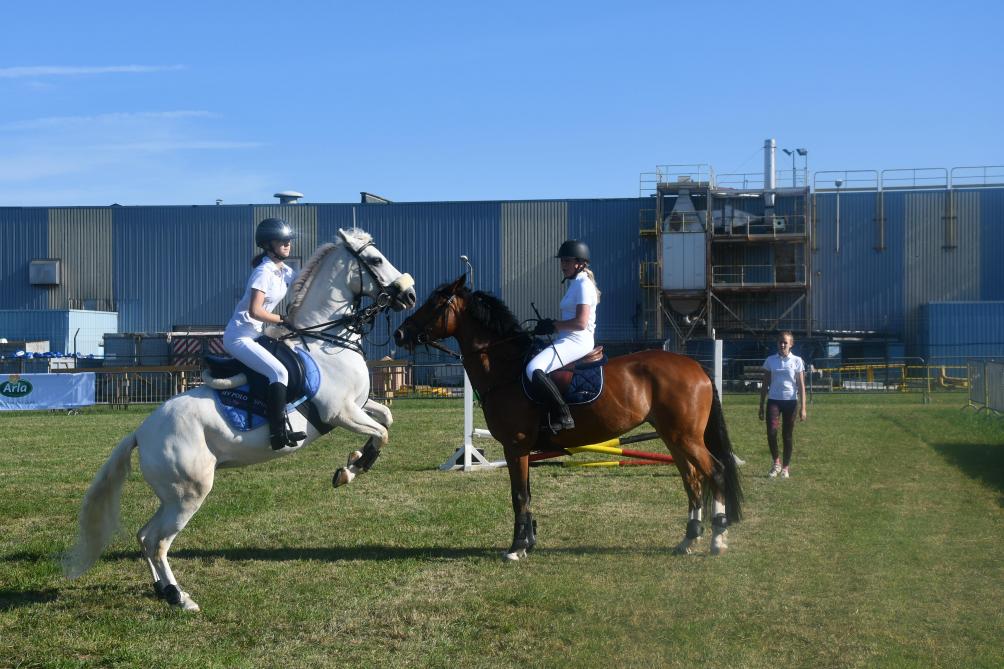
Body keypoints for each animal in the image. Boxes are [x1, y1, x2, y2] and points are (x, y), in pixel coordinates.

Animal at [62, 228, 415, 610]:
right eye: (376, 259)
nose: (409, 295)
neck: (326, 341)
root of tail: (141, 433)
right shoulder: (341, 412)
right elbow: (382, 432)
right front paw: (351, 470)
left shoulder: (358, 405)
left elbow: (387, 419)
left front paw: (351, 463)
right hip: (189, 493)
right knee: (157, 541)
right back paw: (180, 599)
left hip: (171, 497)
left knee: (144, 537)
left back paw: (165, 590)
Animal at [395, 273, 742, 558]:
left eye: (434, 303)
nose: (400, 333)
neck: (506, 369)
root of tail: (694, 365)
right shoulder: (522, 449)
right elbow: (526, 493)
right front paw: (529, 542)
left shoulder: (515, 446)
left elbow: (518, 495)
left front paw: (516, 548)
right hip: (673, 437)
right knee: (692, 479)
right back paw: (688, 540)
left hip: (686, 437)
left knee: (716, 472)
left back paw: (717, 540)